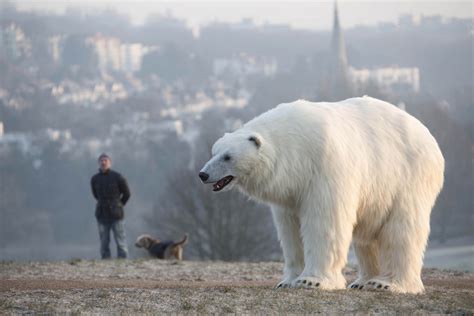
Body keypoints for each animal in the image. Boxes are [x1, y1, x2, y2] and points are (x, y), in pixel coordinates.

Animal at [199, 96, 444, 294]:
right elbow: (290, 231)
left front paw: (311, 281)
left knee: (402, 230)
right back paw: (362, 281)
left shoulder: (325, 169)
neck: (296, 148)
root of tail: (430, 137)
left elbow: (325, 223)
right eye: (213, 151)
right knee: (367, 237)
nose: (203, 174)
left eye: (228, 156)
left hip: (406, 177)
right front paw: (287, 280)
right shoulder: (291, 189)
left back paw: (387, 283)